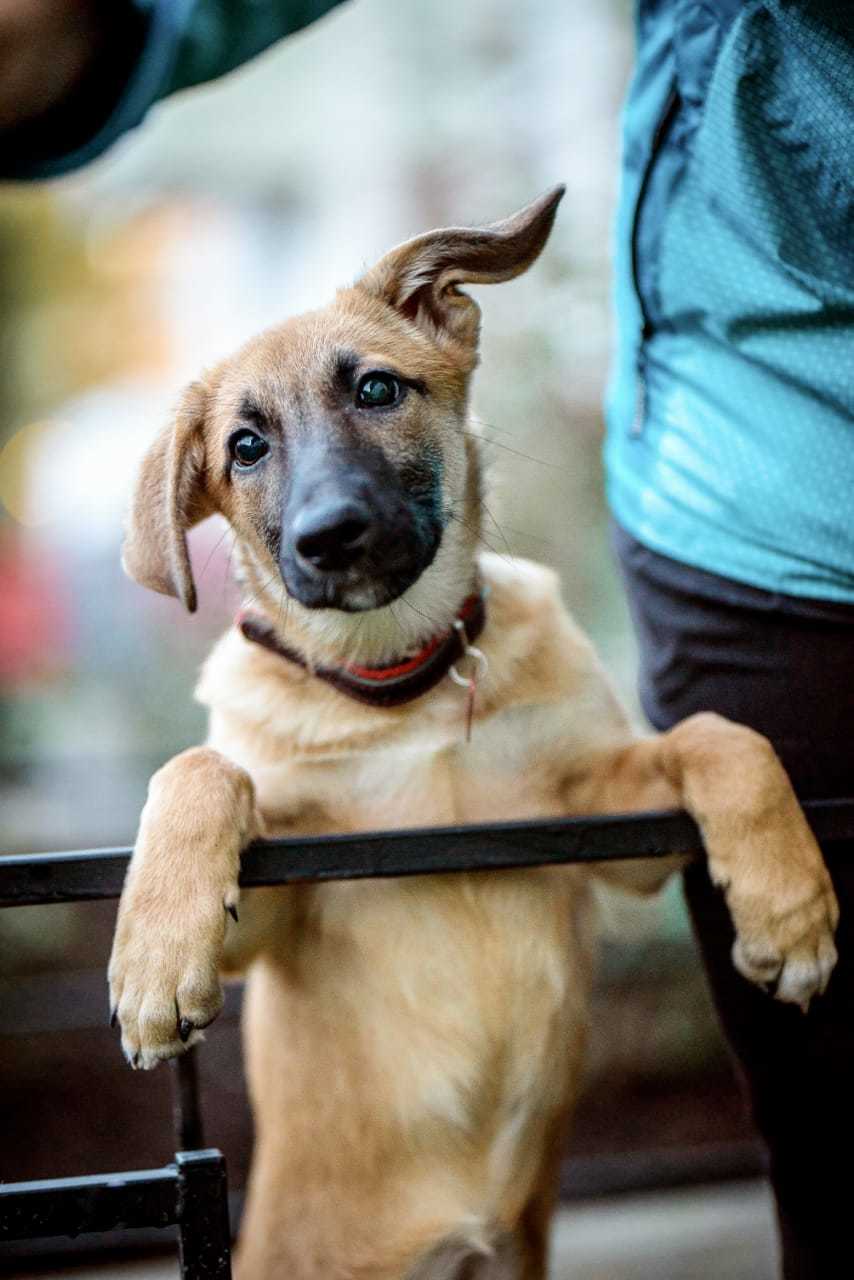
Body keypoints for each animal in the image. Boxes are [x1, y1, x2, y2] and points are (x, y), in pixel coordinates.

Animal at [110, 189, 839, 1280]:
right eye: (245, 447)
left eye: (377, 388)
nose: (329, 536)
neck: (401, 689)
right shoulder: (283, 910)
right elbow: (202, 769)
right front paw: (156, 961)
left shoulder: (604, 831)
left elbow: (722, 736)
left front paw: (789, 910)